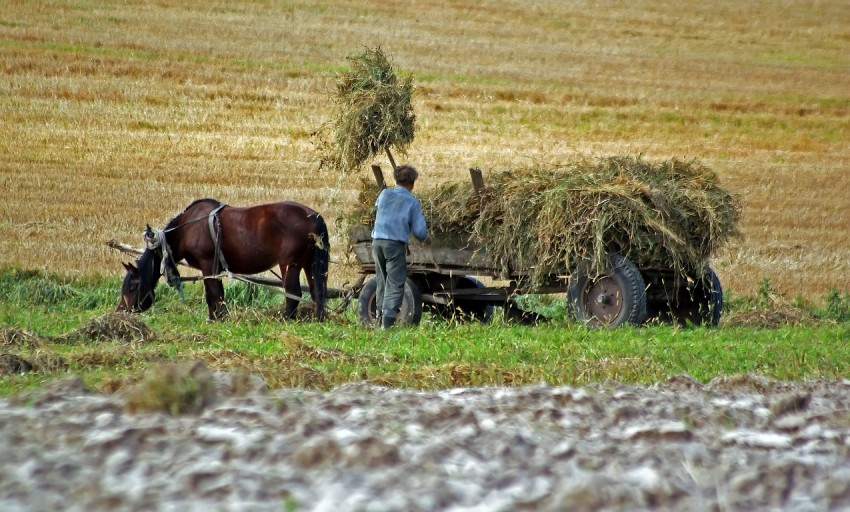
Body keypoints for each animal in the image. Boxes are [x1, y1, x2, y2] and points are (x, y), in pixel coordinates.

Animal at [117, 199, 330, 320]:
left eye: (132, 287)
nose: (121, 311)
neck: (187, 228)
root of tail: (313, 216)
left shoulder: (207, 265)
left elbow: (214, 294)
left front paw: (217, 318)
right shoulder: (214, 268)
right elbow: (215, 294)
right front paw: (216, 317)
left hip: (290, 264)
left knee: (293, 293)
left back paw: (286, 319)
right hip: (310, 264)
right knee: (317, 291)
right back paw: (318, 318)